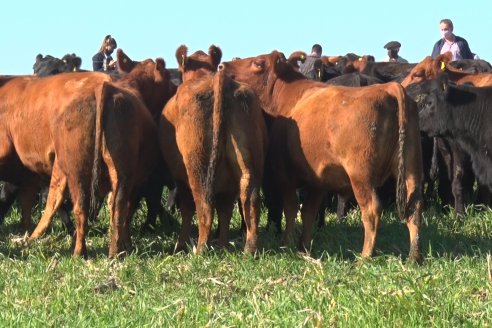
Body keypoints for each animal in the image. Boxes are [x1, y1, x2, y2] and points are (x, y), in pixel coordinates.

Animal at [160, 44, 268, 254]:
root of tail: (219, 80)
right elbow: (225, 211)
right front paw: (223, 245)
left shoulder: (181, 178)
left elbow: (187, 209)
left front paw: (181, 244)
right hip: (248, 163)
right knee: (249, 199)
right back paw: (249, 250)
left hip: (197, 167)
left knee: (204, 206)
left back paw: (200, 250)